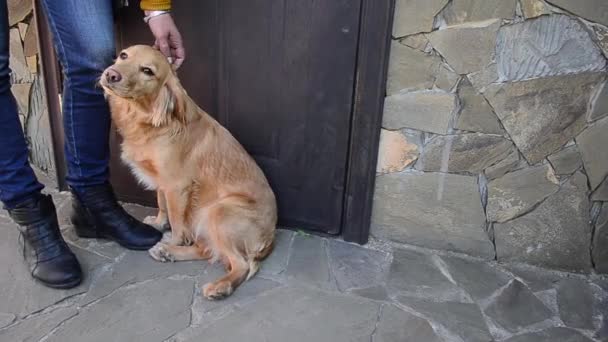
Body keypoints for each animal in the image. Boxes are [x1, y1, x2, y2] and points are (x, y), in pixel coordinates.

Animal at [100, 44, 278, 300]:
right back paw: (168, 253)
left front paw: (174, 239)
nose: (111, 74)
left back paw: (218, 286)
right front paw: (158, 223)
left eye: (147, 71)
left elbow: (176, 221)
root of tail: (270, 236)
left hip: (218, 212)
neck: (149, 118)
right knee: (208, 250)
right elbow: (162, 205)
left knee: (241, 264)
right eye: (123, 55)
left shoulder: (176, 185)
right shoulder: (162, 182)